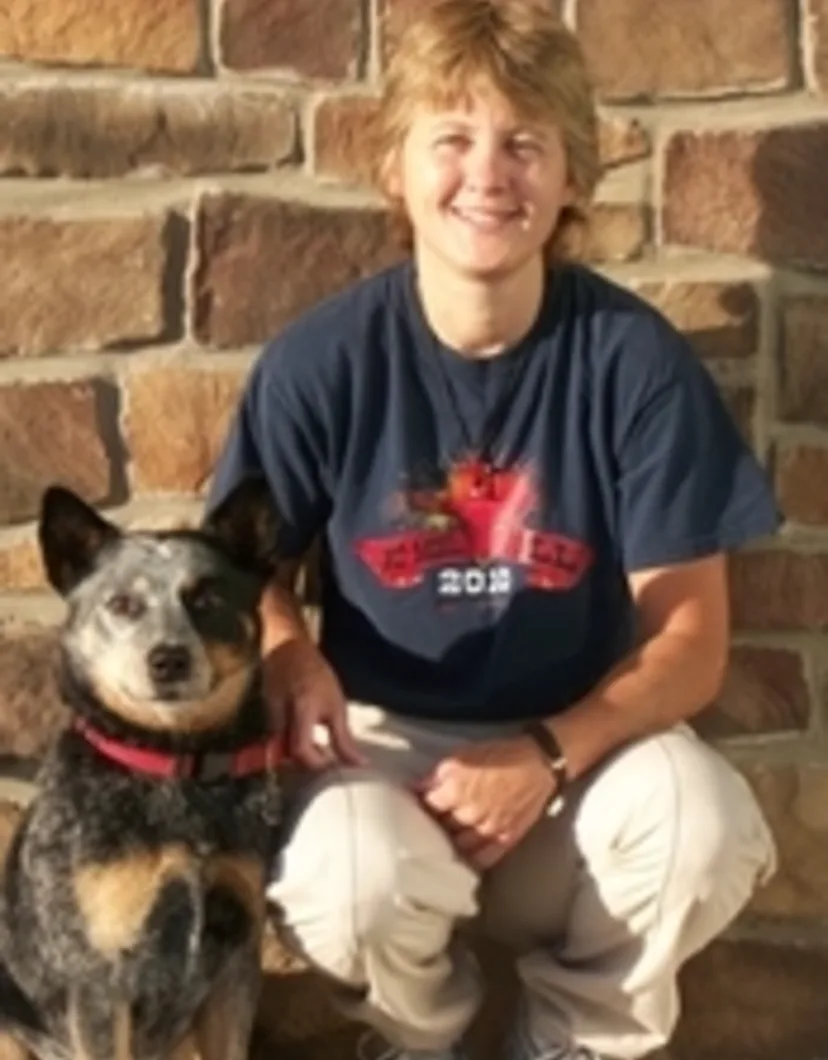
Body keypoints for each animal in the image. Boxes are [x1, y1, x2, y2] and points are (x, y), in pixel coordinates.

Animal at [0, 481, 284, 1060]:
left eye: (206, 598)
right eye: (123, 604)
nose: (168, 658)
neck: (176, 768)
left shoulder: (238, 957)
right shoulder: (98, 978)